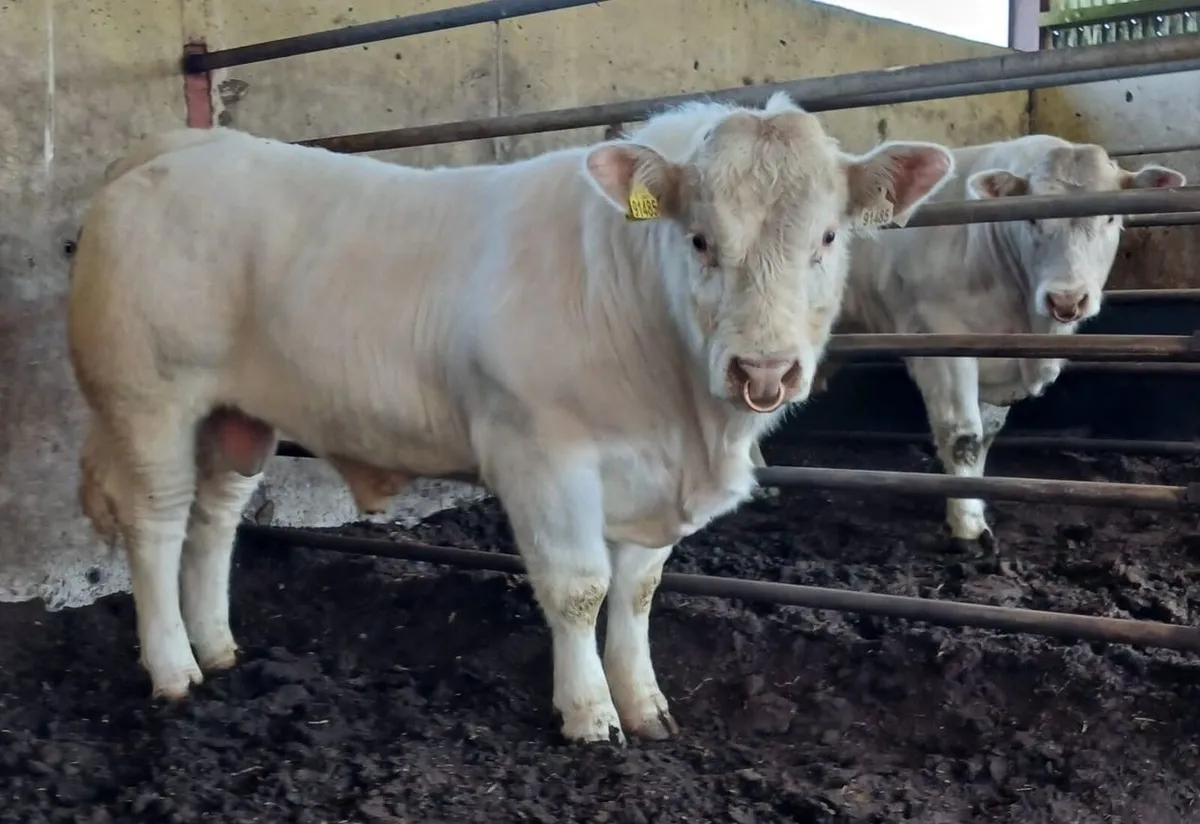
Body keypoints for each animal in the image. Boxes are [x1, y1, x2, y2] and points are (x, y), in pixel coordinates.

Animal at [67, 92, 954, 744]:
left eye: (828, 238)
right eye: (700, 239)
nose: (763, 370)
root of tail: (178, 146)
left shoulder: (646, 478)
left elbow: (639, 590)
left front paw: (645, 704)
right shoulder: (544, 455)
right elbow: (579, 588)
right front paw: (589, 714)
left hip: (234, 417)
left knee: (214, 520)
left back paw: (218, 647)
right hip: (147, 400)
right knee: (157, 523)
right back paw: (174, 668)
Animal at [750, 134, 1185, 550]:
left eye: (1110, 216)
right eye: (1032, 218)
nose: (1066, 299)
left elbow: (987, 432)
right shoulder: (939, 341)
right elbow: (963, 436)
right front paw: (968, 526)